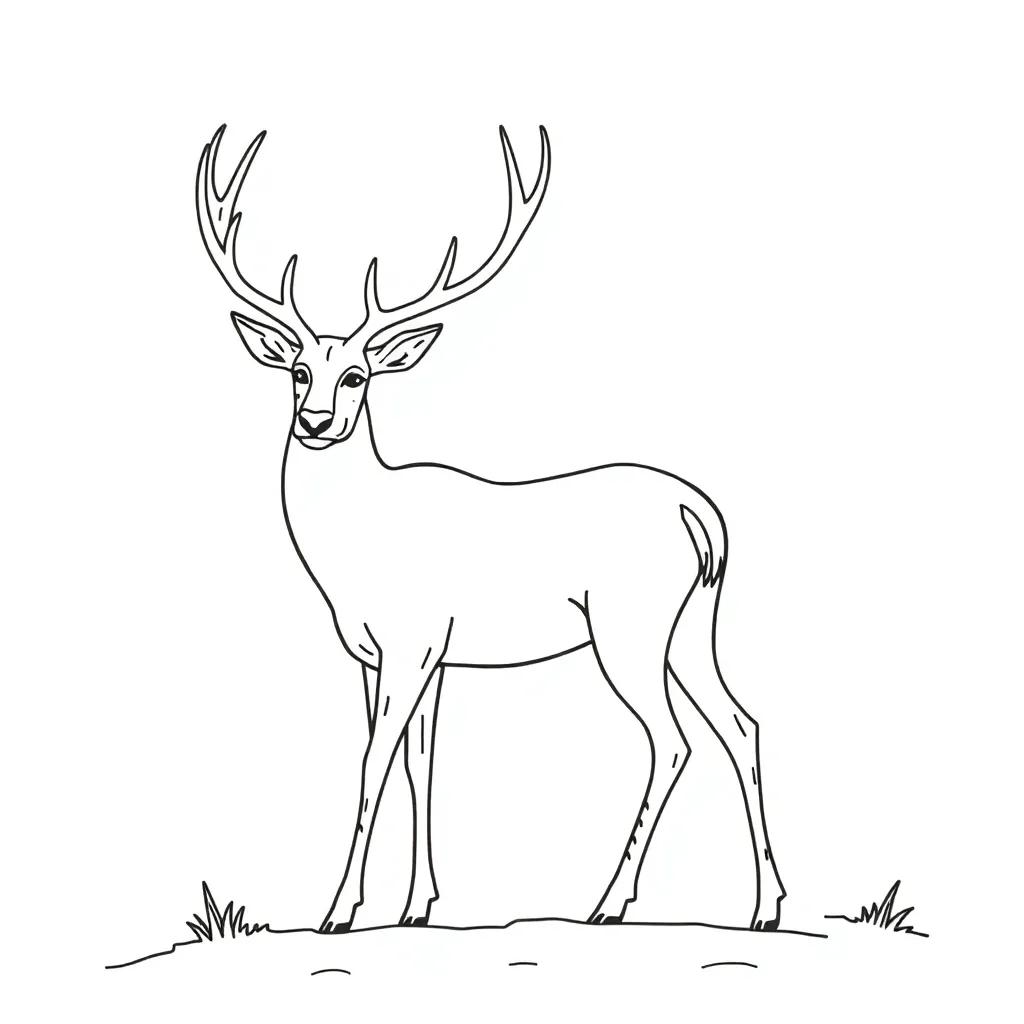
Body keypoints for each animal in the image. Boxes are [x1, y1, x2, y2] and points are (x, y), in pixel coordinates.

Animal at [195, 124, 786, 934]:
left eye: (357, 376)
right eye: (296, 371)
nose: (314, 422)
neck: (353, 549)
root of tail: (701, 516)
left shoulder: (411, 640)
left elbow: (373, 763)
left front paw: (338, 910)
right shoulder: (405, 655)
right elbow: (420, 762)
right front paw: (417, 906)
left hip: (628, 626)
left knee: (673, 741)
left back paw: (608, 903)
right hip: (692, 625)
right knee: (740, 723)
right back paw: (765, 906)